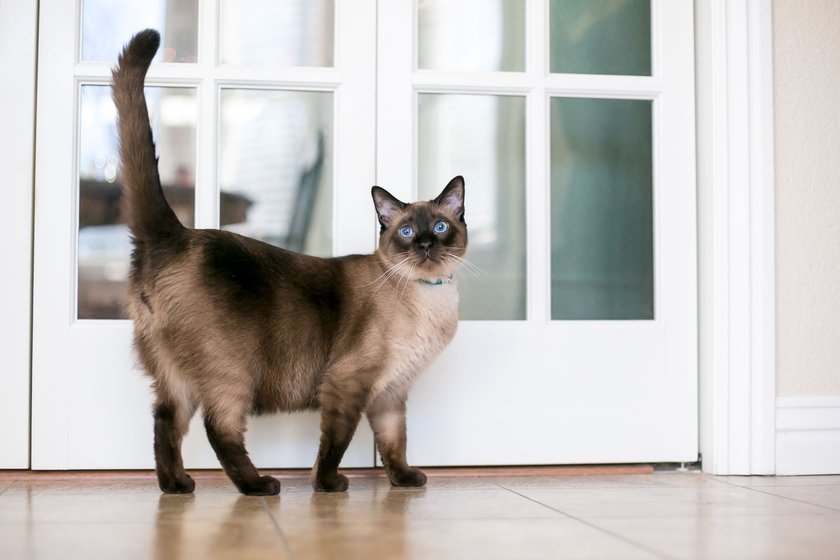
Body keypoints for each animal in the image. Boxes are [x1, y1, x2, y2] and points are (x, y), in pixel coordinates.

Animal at [110, 29, 466, 494]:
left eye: (440, 228)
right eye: (407, 232)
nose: (425, 245)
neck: (430, 297)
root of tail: (174, 233)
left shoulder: (390, 395)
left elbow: (395, 443)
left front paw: (406, 481)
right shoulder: (348, 384)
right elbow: (335, 443)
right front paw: (328, 486)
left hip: (175, 376)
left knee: (165, 422)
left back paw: (177, 485)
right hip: (230, 373)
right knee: (218, 428)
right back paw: (259, 485)